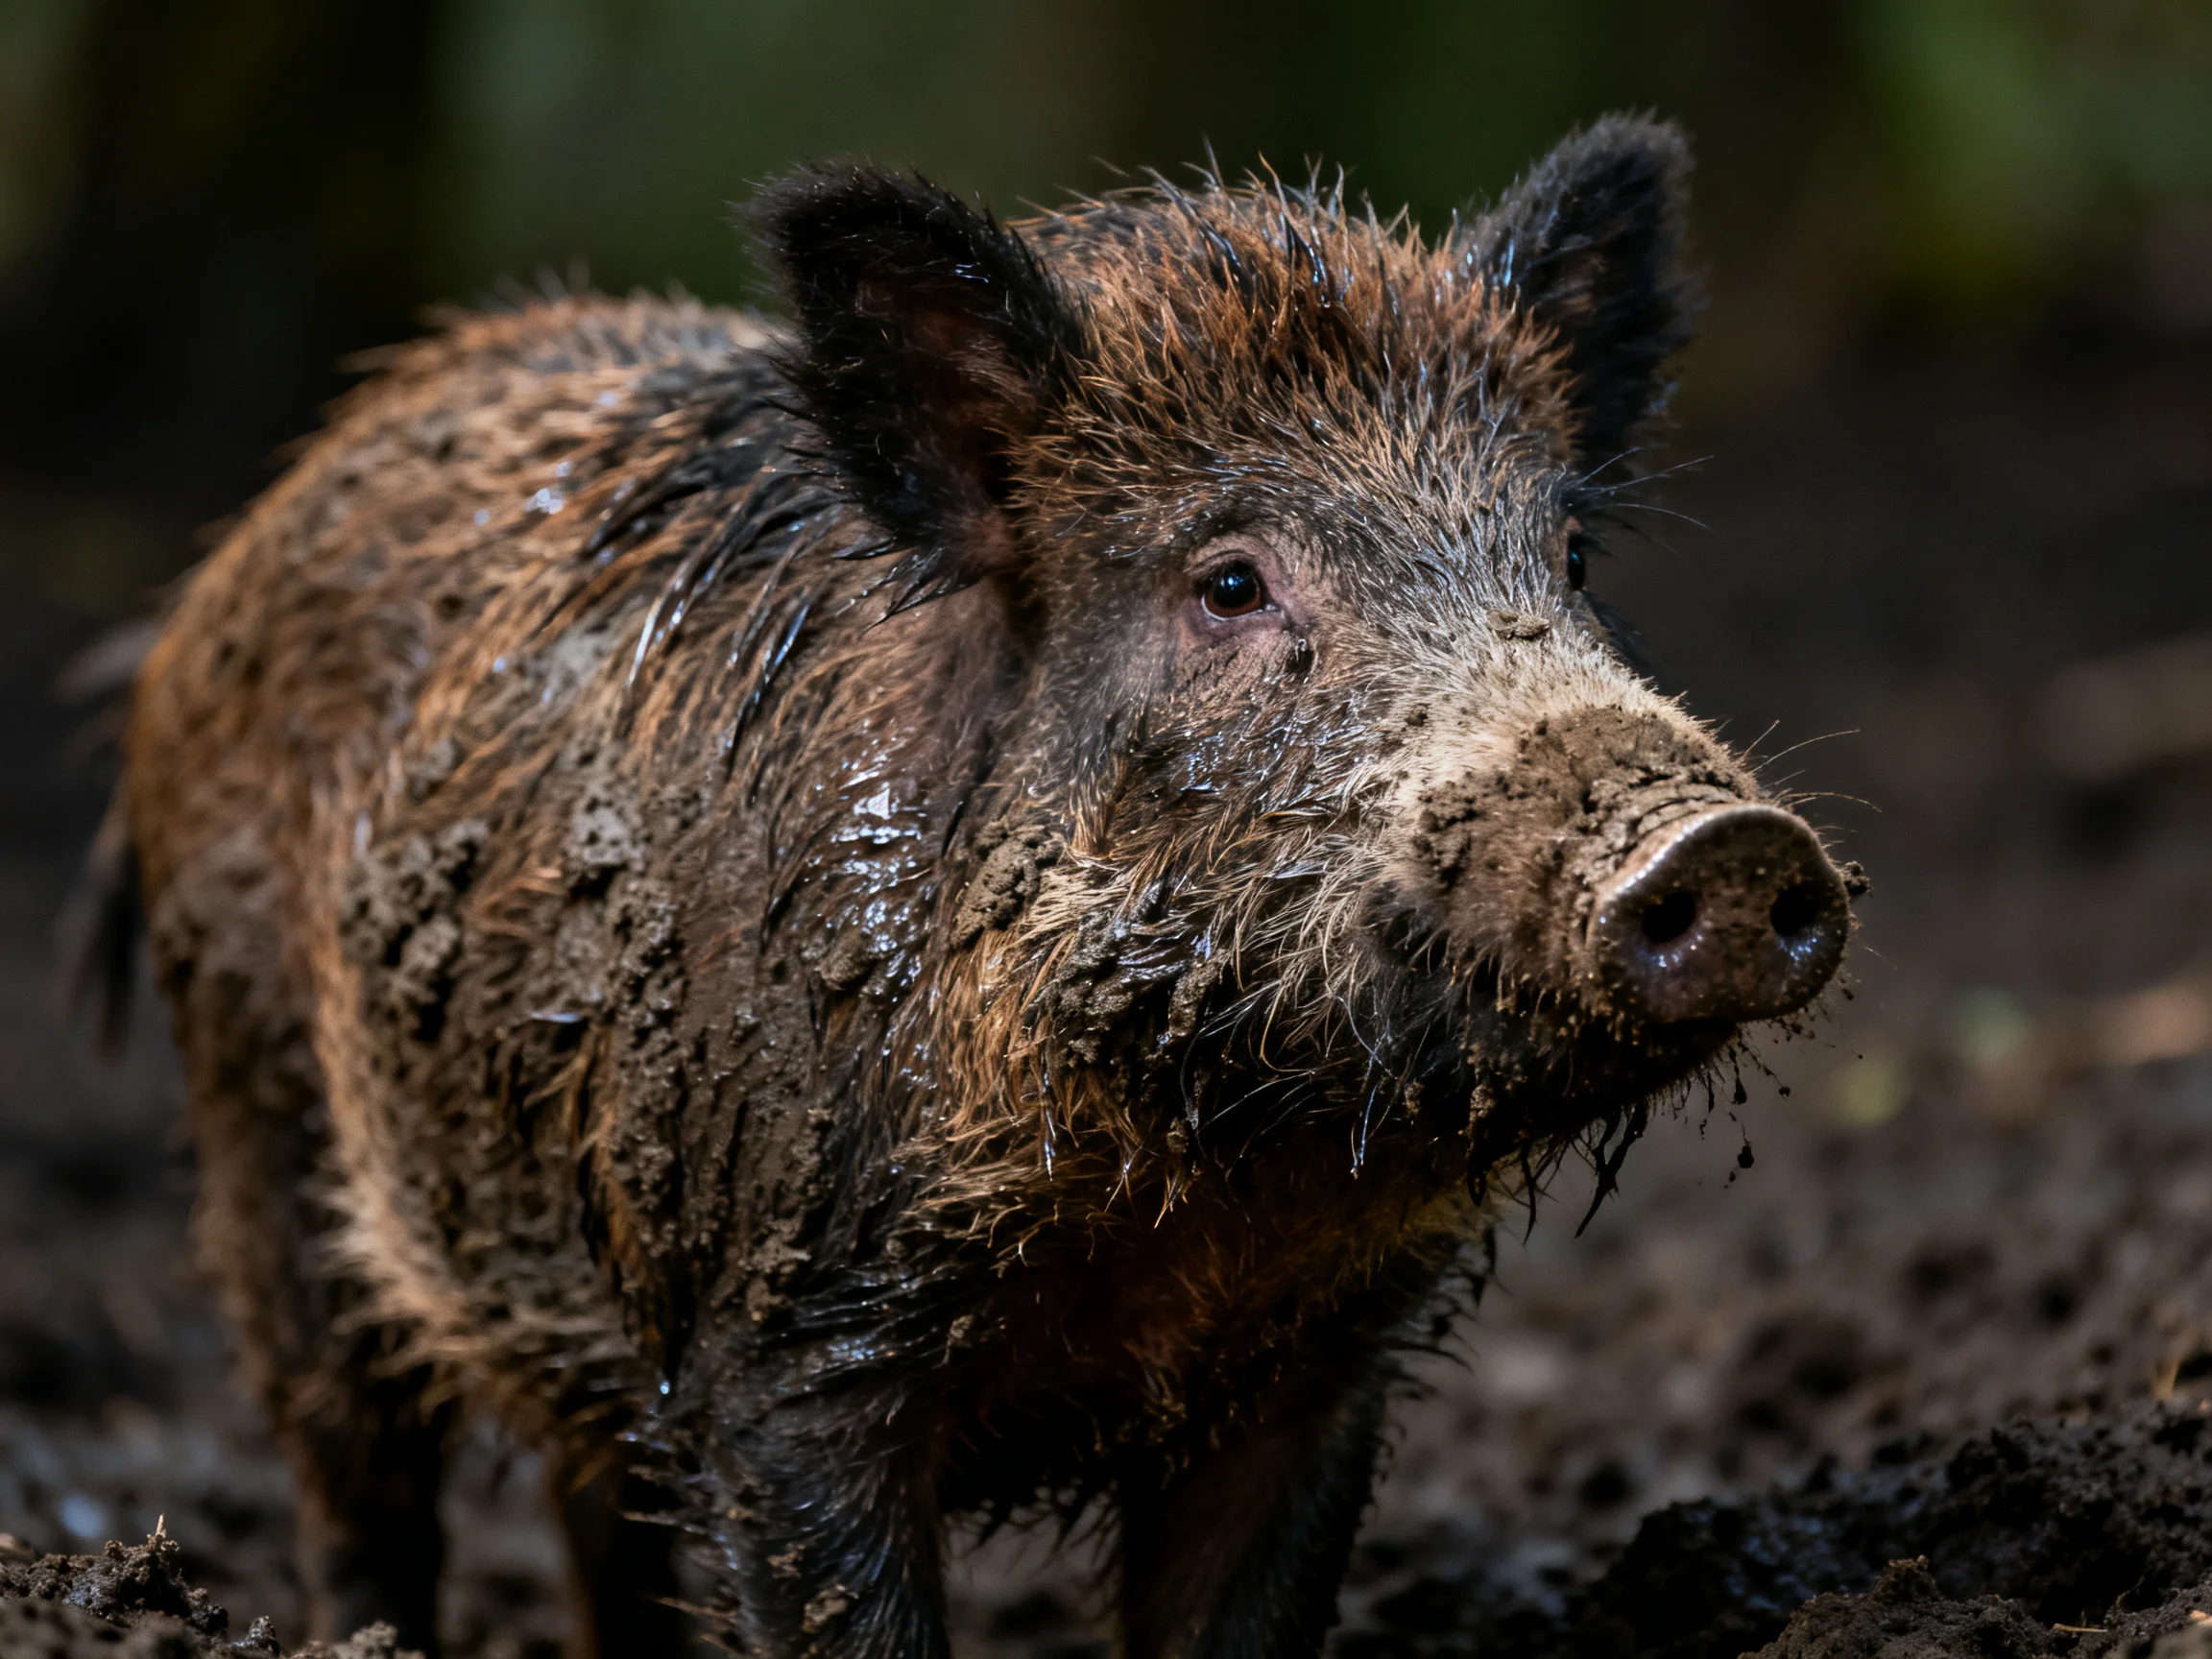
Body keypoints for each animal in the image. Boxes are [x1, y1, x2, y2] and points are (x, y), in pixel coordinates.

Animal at [113, 116, 1857, 1658]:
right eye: (1230, 581)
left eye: (1565, 560)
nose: (1726, 842)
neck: (1191, 1178)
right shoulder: (776, 1351)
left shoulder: (1314, 1366)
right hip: (260, 1123)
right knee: (359, 1481)